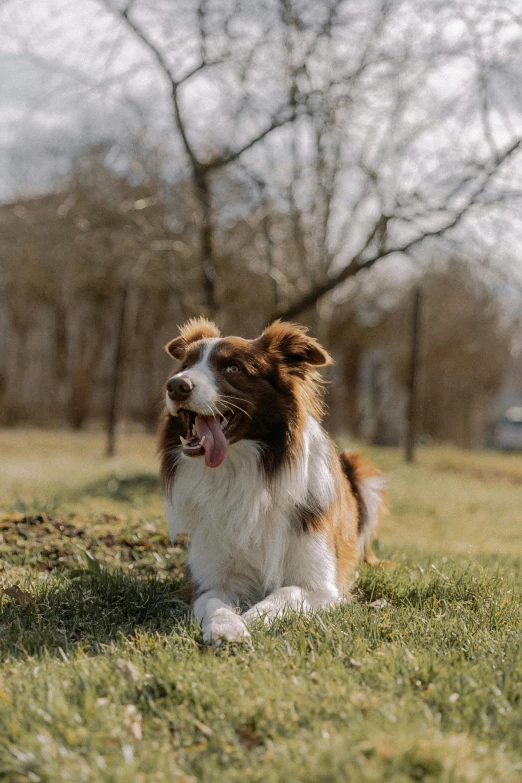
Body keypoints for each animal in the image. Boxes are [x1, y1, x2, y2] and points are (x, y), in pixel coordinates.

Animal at [159, 316, 386, 648]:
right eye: (185, 365)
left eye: (233, 368)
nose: (176, 385)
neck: (244, 473)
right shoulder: (209, 582)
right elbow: (214, 603)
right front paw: (227, 626)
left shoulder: (321, 588)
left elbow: (285, 594)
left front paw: (252, 617)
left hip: (363, 476)